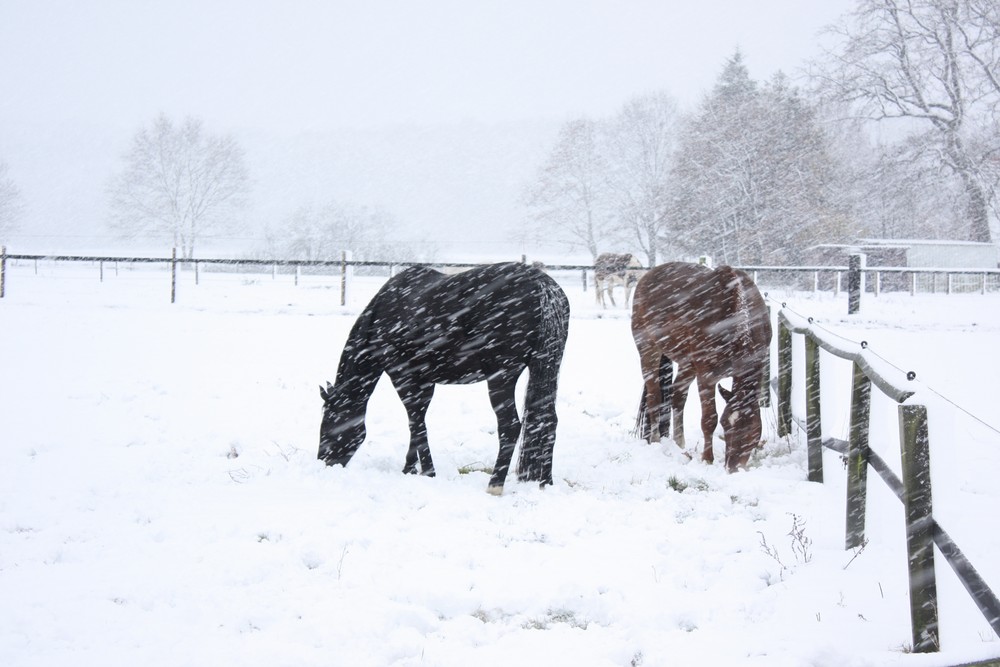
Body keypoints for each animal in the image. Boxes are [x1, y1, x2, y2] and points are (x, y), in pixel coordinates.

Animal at [320, 264, 572, 494]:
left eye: (328, 421)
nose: (323, 461)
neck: (383, 313)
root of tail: (541, 284)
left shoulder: (403, 377)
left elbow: (416, 422)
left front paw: (425, 471)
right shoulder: (424, 382)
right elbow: (417, 422)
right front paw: (412, 469)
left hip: (501, 378)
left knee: (510, 426)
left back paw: (495, 484)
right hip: (544, 367)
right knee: (548, 422)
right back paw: (545, 482)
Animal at [632, 264, 772, 472]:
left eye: (753, 430)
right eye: (725, 424)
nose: (732, 468)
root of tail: (646, 276)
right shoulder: (707, 376)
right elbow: (709, 419)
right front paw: (707, 459)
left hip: (687, 363)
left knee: (677, 396)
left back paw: (679, 444)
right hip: (648, 350)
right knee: (654, 396)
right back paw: (656, 440)